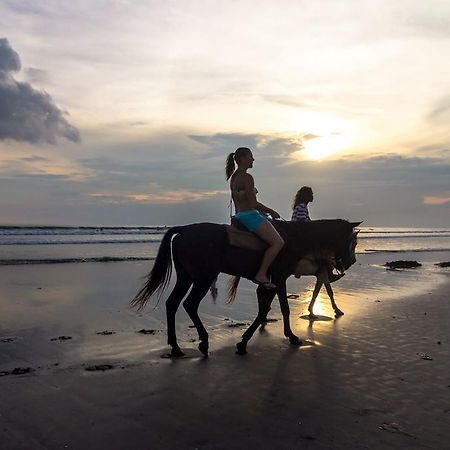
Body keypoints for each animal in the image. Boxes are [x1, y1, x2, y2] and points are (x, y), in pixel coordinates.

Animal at [129, 220, 358, 356]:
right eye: (353, 241)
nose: (351, 262)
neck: (295, 237)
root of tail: (184, 229)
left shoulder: (273, 282)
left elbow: (265, 310)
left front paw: (245, 341)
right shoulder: (279, 278)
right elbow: (280, 309)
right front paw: (290, 337)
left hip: (186, 277)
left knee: (172, 303)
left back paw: (176, 348)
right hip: (204, 277)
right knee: (190, 304)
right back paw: (203, 342)